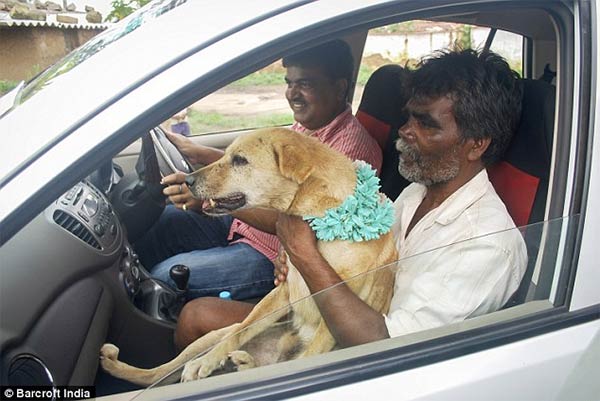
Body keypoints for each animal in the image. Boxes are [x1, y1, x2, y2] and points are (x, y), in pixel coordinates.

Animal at [99, 128, 398, 384]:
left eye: (240, 160)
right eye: (227, 154)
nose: (188, 180)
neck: (323, 221)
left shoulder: (332, 320)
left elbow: (312, 354)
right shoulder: (282, 291)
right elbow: (243, 329)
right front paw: (208, 361)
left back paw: (247, 364)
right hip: (209, 337)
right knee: (158, 372)